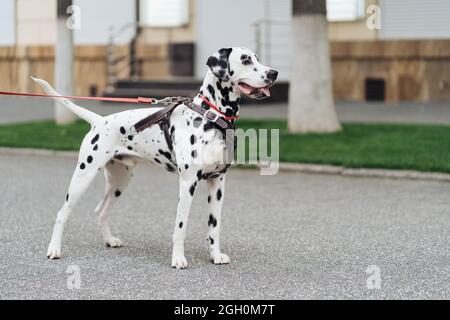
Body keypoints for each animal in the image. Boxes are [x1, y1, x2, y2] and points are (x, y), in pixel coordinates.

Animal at [33, 47, 278, 268]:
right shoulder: (188, 183)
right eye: (245, 60)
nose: (274, 73)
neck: (211, 116)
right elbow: (181, 226)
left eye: (257, 58)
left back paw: (110, 240)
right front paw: (178, 259)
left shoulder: (217, 182)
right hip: (83, 177)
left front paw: (215, 256)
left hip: (120, 183)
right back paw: (54, 249)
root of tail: (99, 120)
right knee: (62, 213)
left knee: (100, 211)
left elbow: (214, 226)